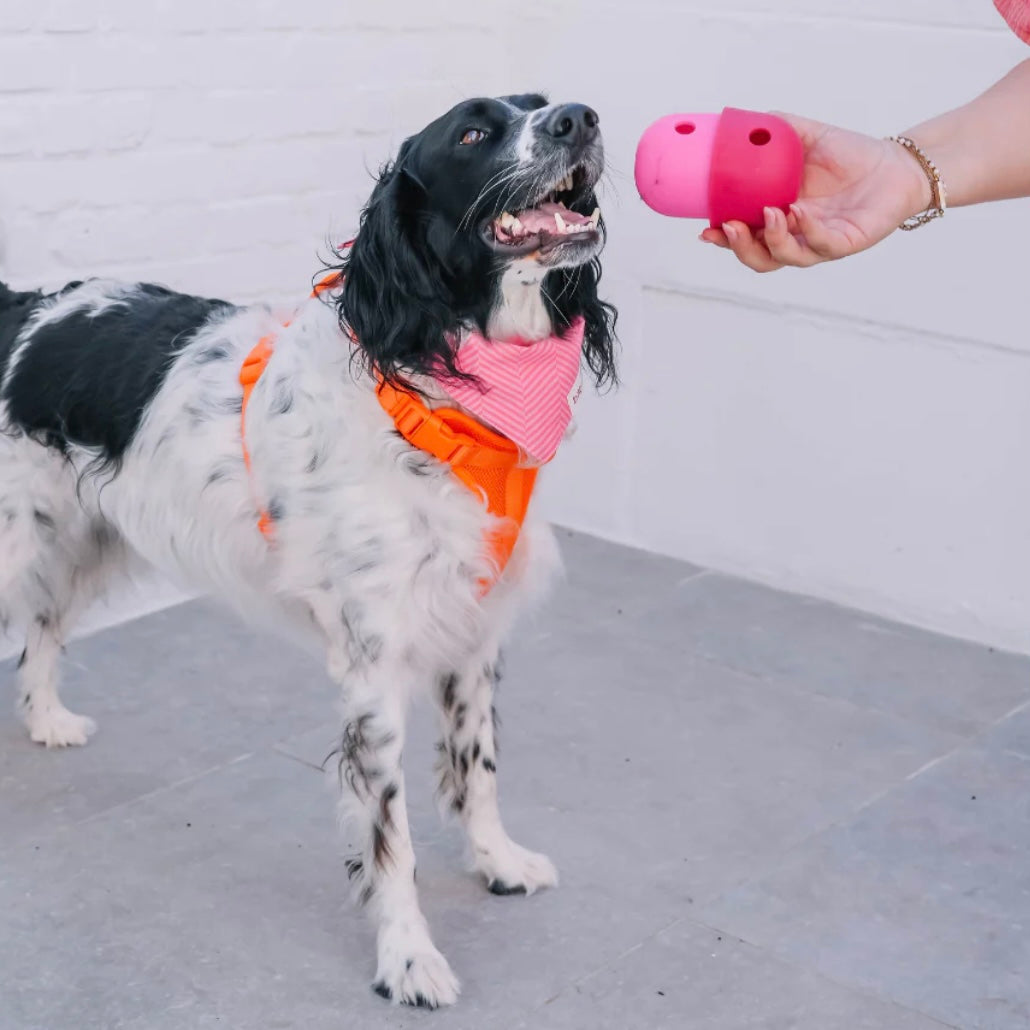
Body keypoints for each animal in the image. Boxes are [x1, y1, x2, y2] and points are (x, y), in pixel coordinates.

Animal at [0, 92, 609, 1009]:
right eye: (472, 132)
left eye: (542, 104)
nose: (581, 117)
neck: (444, 398)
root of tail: (24, 309)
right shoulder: (374, 662)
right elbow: (391, 832)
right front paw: (408, 960)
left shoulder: (471, 631)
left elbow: (477, 767)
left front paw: (497, 862)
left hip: (74, 537)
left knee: (41, 630)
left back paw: (47, 721)